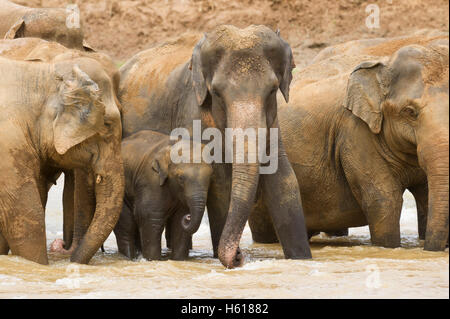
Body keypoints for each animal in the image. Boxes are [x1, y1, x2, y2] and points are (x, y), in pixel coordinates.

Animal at [116, 131, 214, 262]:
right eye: (180, 178)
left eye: (210, 177)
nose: (188, 217)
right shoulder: (151, 180)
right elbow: (150, 218)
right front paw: (153, 260)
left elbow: (178, 223)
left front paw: (179, 260)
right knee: (127, 227)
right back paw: (129, 257)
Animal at [251, 37, 448, 252]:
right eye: (410, 112)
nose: (428, 250)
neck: (384, 62)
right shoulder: (355, 132)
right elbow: (384, 200)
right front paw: (389, 248)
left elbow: (427, 195)